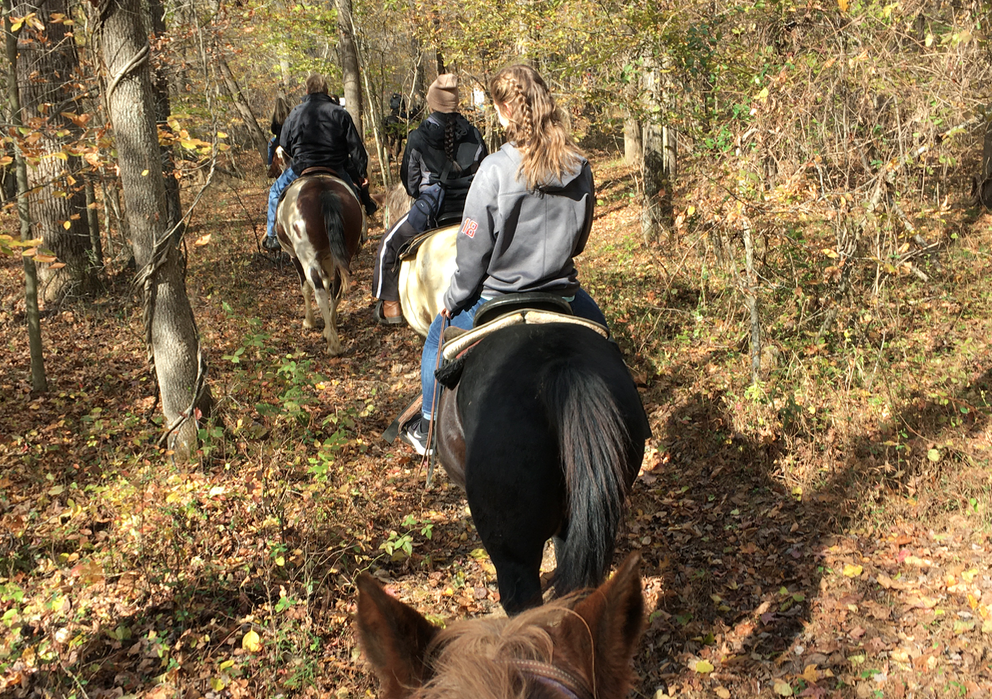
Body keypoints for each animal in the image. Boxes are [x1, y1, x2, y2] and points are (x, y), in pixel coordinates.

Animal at [274, 170, 366, 356]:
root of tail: (325, 192)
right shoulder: (328, 258)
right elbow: (328, 284)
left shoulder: (294, 255)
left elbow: (305, 287)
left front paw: (309, 321)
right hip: (345, 254)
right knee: (336, 288)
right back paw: (331, 331)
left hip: (306, 257)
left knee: (319, 292)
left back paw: (333, 345)